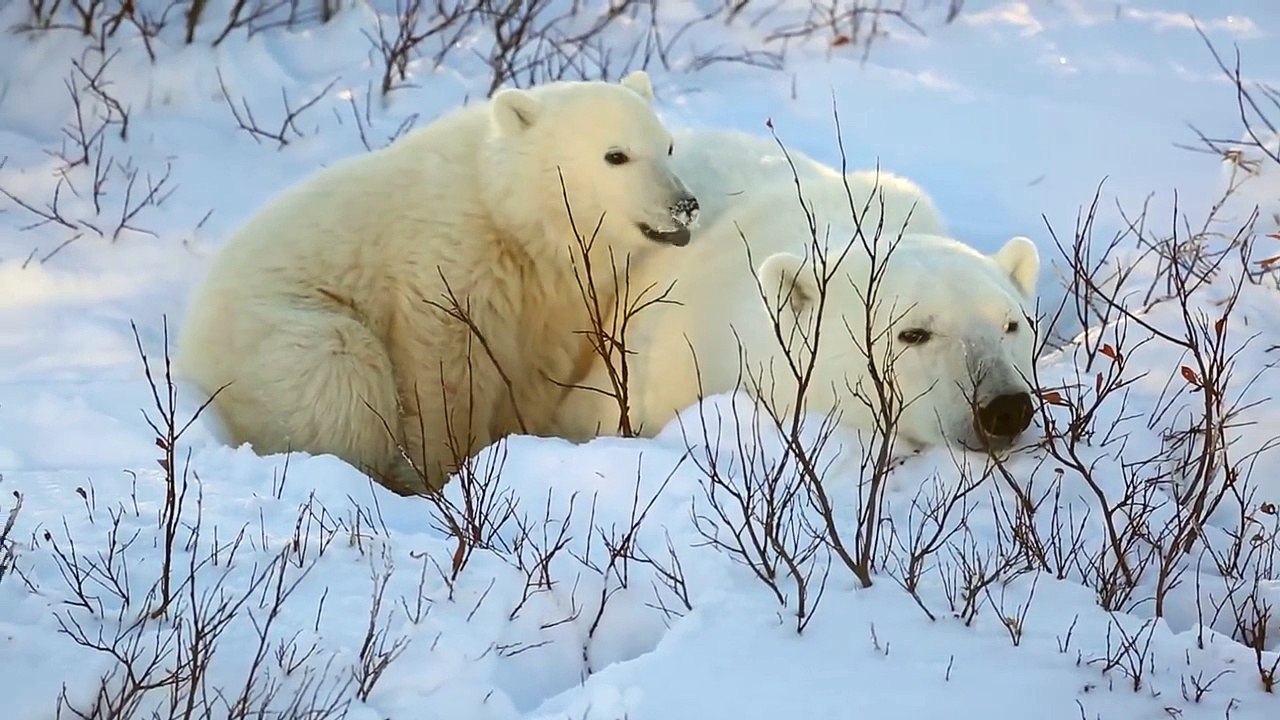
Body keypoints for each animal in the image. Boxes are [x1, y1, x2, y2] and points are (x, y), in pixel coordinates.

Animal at [175, 71, 699, 496]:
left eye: (669, 146)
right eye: (616, 155)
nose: (685, 205)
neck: (508, 213)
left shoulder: (551, 293)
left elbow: (536, 370)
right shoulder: (450, 254)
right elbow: (444, 368)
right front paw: (440, 475)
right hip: (275, 338)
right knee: (340, 367)